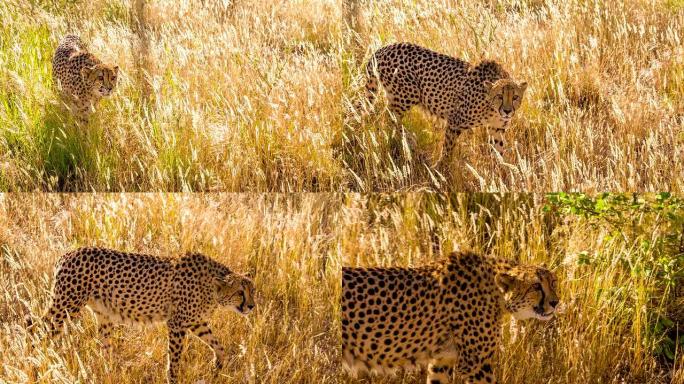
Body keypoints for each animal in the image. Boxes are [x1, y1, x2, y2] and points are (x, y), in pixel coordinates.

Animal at [36, 248, 254, 382]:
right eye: (240, 293)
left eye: (253, 290)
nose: (251, 306)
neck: (212, 286)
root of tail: (67, 254)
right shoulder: (177, 323)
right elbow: (174, 359)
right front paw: (172, 378)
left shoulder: (196, 322)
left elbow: (219, 345)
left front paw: (217, 366)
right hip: (65, 306)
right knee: (37, 330)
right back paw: (39, 363)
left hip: (102, 315)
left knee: (105, 348)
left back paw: (110, 372)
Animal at [344, 250, 560, 382]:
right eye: (536, 286)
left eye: (553, 282)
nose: (555, 302)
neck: (495, 291)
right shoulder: (475, 365)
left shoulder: (442, 360)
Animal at [360, 43, 528, 165]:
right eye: (500, 96)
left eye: (515, 97)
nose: (507, 111)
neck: (491, 108)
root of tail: (383, 48)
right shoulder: (455, 122)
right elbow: (448, 149)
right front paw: (442, 168)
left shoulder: (497, 128)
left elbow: (499, 151)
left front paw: (501, 172)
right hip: (406, 95)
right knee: (389, 117)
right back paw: (405, 141)